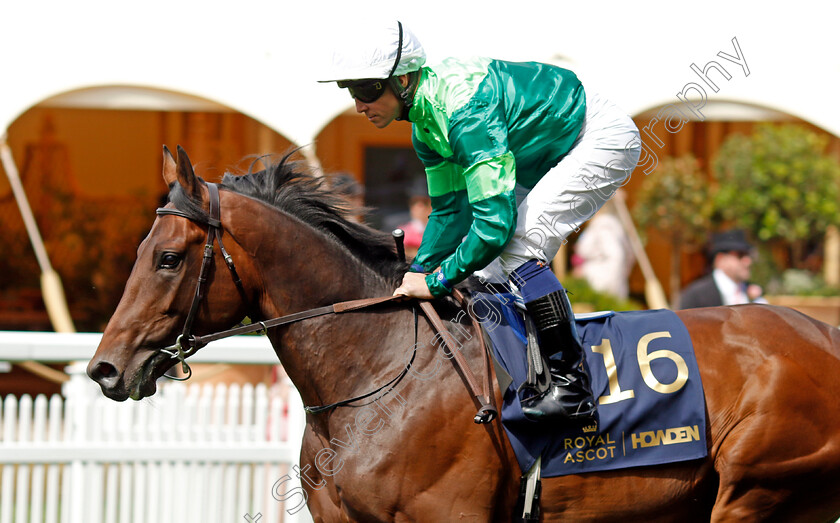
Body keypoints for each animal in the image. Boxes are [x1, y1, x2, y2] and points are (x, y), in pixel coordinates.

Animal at [87, 147, 840, 523]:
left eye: (167, 258)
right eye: (142, 251)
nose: (104, 369)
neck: (377, 374)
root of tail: (820, 333)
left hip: (758, 488)